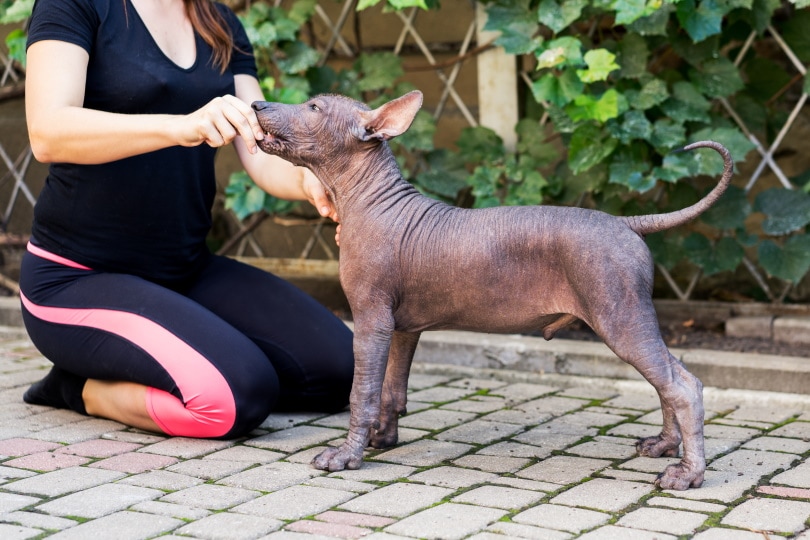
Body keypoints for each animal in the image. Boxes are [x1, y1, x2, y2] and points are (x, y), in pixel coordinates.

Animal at [251, 89, 732, 490]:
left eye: (313, 107)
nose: (256, 104)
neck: (372, 199)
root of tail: (625, 222)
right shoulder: (402, 328)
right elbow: (391, 390)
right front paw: (382, 438)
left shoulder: (371, 321)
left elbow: (363, 392)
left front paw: (346, 456)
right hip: (631, 316)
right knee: (672, 377)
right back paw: (664, 445)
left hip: (619, 316)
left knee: (683, 386)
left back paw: (688, 473)